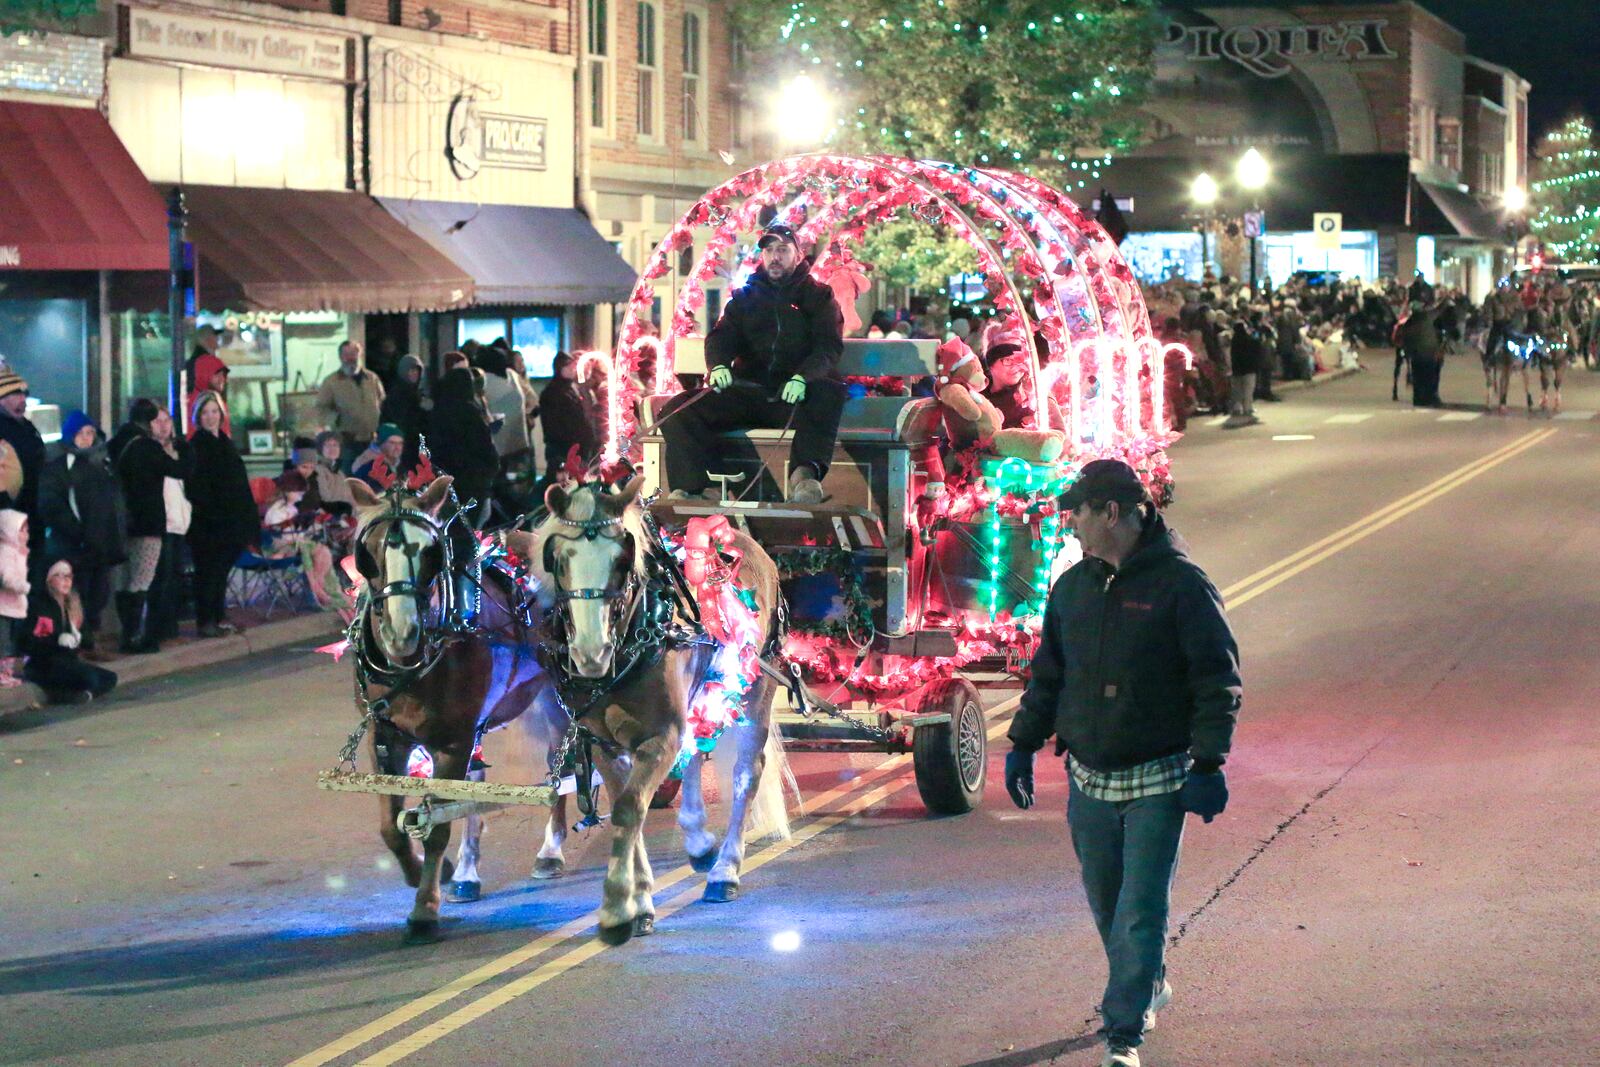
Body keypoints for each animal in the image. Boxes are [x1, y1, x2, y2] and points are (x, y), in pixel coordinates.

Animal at [348, 476, 569, 940]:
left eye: (431, 552)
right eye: (368, 552)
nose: (402, 632)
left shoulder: (453, 742)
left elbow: (437, 826)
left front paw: (425, 907)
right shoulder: (385, 737)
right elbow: (392, 827)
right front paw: (437, 872)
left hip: (556, 701)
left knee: (564, 767)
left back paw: (551, 850)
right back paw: (467, 873)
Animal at [531, 479, 793, 947]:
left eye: (622, 559)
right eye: (558, 559)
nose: (590, 653)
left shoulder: (660, 737)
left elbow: (628, 809)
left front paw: (617, 911)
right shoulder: (603, 744)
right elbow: (626, 806)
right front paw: (640, 902)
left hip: (756, 688)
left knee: (747, 772)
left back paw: (725, 869)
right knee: (696, 754)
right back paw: (700, 842)